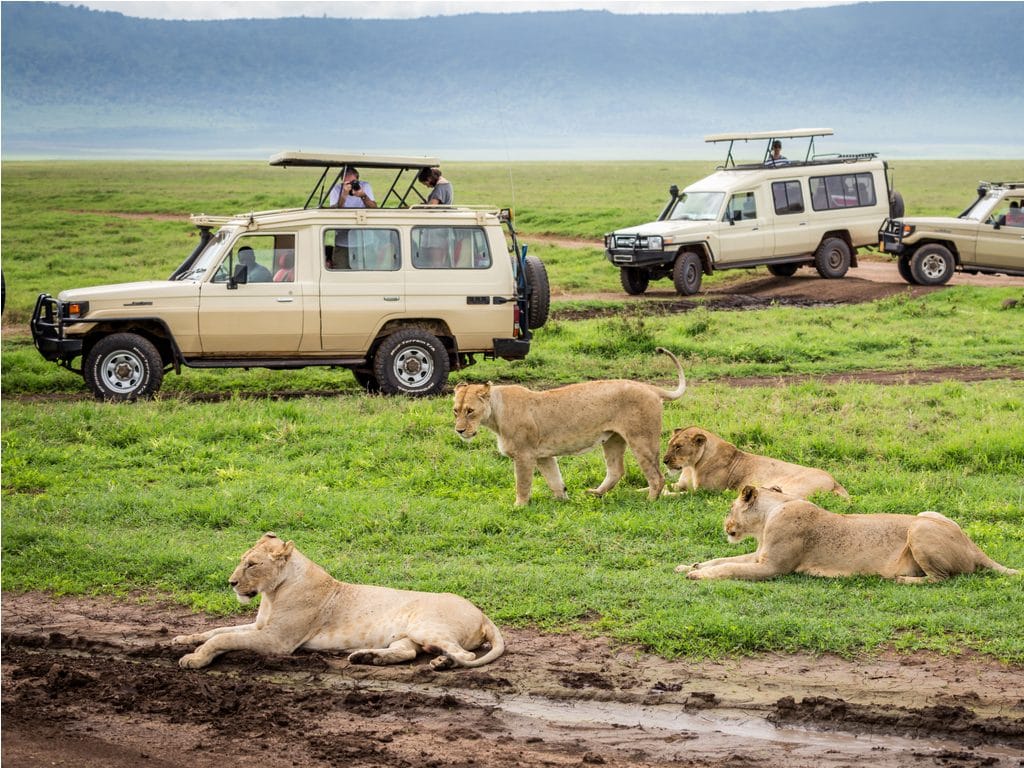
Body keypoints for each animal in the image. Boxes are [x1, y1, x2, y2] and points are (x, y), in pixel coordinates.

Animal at [174, 536, 505, 671]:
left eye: (252, 564)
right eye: (243, 560)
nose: (231, 583)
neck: (272, 593)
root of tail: (482, 614)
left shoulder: (278, 641)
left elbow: (224, 639)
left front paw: (195, 659)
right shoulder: (260, 627)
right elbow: (216, 632)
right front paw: (182, 639)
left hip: (426, 627)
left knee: (465, 655)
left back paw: (442, 663)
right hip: (409, 636)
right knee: (407, 653)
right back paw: (367, 658)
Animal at [452, 348, 684, 505]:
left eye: (470, 411)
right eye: (456, 410)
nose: (459, 431)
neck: (496, 413)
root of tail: (650, 387)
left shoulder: (524, 455)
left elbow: (522, 483)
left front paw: (519, 506)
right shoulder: (543, 455)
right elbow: (554, 479)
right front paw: (562, 500)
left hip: (641, 439)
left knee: (657, 476)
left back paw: (650, 500)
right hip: (613, 439)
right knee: (616, 470)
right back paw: (596, 493)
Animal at [663, 428, 847, 499]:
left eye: (678, 447)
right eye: (669, 444)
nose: (664, 461)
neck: (691, 466)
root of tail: (835, 480)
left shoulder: (704, 492)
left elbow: (677, 495)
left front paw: (663, 495)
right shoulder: (682, 484)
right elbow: (663, 487)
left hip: (799, 485)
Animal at [675, 487, 1019, 581]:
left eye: (729, 508)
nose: (725, 527)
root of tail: (974, 547)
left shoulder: (773, 567)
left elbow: (730, 568)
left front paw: (697, 575)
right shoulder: (760, 554)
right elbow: (722, 559)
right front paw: (688, 565)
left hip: (919, 528)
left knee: (942, 579)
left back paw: (901, 579)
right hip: (929, 514)